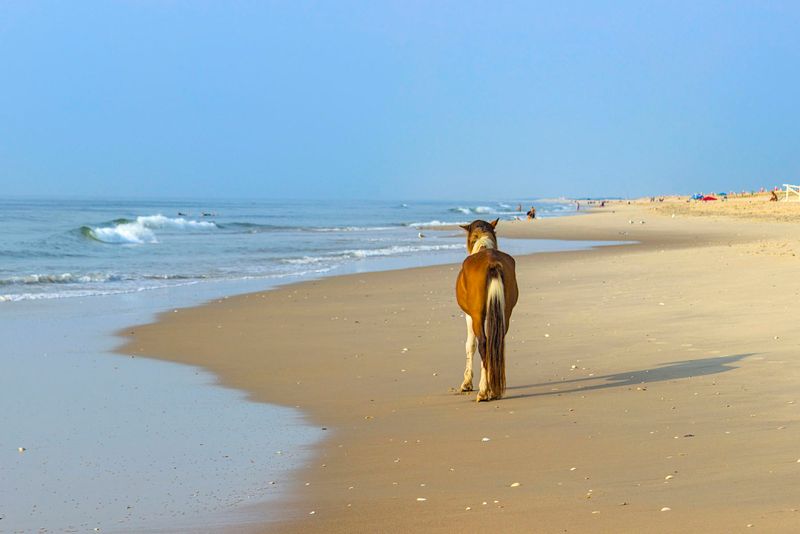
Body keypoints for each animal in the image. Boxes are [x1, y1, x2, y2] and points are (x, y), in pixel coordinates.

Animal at [456, 219, 520, 402]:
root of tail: (492, 262)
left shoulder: (470, 316)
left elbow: (470, 345)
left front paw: (467, 383)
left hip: (477, 316)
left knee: (484, 344)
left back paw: (484, 391)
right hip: (505, 314)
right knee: (496, 343)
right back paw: (494, 389)